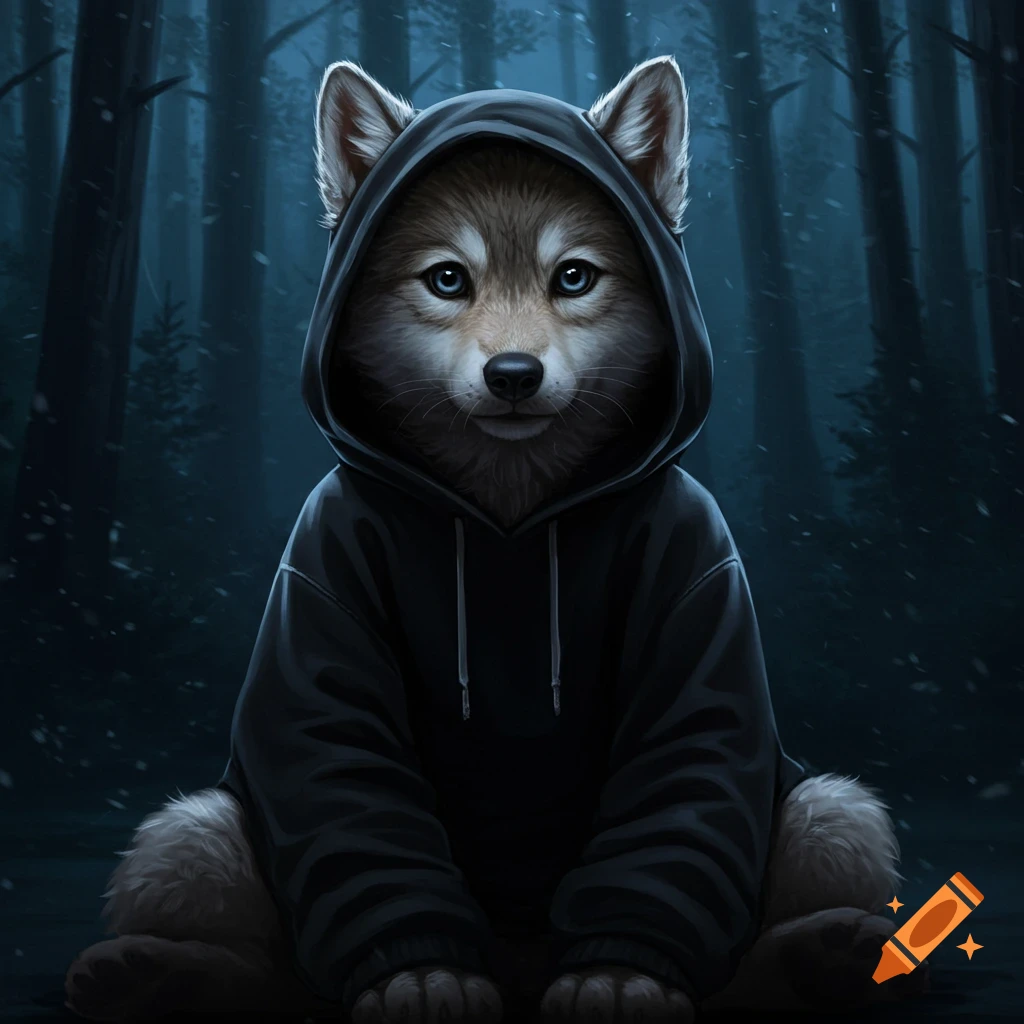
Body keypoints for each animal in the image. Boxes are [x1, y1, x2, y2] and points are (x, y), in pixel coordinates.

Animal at [65, 58, 926, 1023]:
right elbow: (348, 787)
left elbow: (680, 781)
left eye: (574, 277)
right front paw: (416, 976)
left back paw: (829, 954)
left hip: (829, 807)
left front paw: (619, 976)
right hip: (193, 827)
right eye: (448, 280)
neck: (508, 521)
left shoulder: (700, 578)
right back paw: (150, 973)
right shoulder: (318, 583)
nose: (514, 375)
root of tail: (519, 965)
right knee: (263, 963)